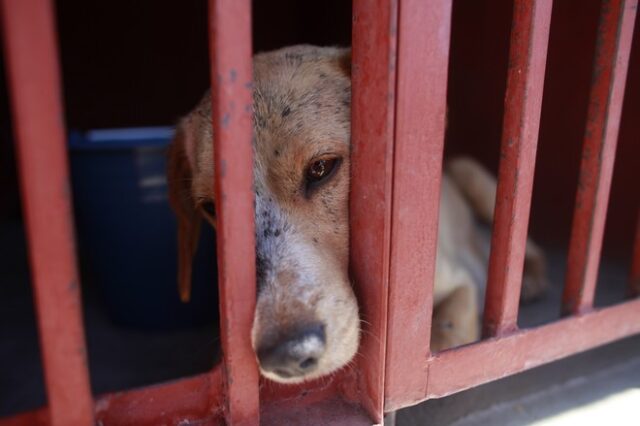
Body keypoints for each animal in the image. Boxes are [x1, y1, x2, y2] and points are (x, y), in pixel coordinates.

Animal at [168, 45, 548, 384]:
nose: (286, 355)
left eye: (321, 167)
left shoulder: (462, 283)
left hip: (474, 176)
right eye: (212, 209)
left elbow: (444, 340)